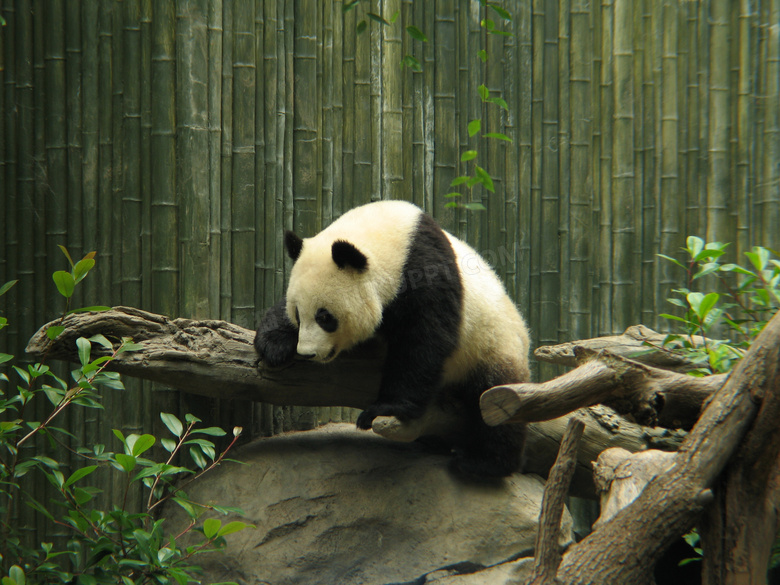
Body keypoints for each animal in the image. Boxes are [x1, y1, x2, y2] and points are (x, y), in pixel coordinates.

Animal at [254, 200, 532, 474]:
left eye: (325, 317)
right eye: (298, 314)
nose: (307, 352)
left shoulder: (428, 273)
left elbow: (423, 342)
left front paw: (385, 408)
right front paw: (273, 343)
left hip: (492, 346)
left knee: (494, 403)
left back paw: (482, 463)